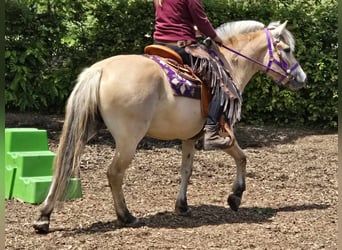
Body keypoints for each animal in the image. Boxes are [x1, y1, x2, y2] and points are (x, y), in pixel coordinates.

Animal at [32, 20, 308, 233]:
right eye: (286, 49)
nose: (302, 78)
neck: (230, 64)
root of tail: (100, 69)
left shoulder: (188, 137)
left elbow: (186, 170)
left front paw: (182, 205)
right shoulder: (224, 131)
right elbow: (242, 157)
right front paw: (235, 196)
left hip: (84, 130)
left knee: (63, 165)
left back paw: (44, 217)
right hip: (128, 141)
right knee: (114, 173)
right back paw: (126, 216)